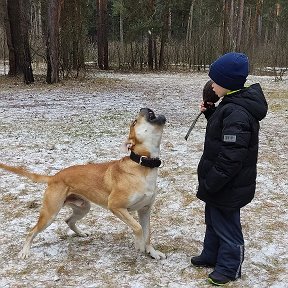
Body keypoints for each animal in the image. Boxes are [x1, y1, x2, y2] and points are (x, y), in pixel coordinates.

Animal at [0, 107, 166, 258]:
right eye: (134, 122)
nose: (144, 108)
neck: (143, 165)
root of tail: (54, 177)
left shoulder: (145, 209)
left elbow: (148, 233)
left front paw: (152, 252)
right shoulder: (116, 206)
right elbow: (138, 228)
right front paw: (139, 244)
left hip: (83, 207)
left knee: (68, 220)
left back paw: (81, 233)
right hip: (50, 213)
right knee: (32, 231)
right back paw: (25, 251)